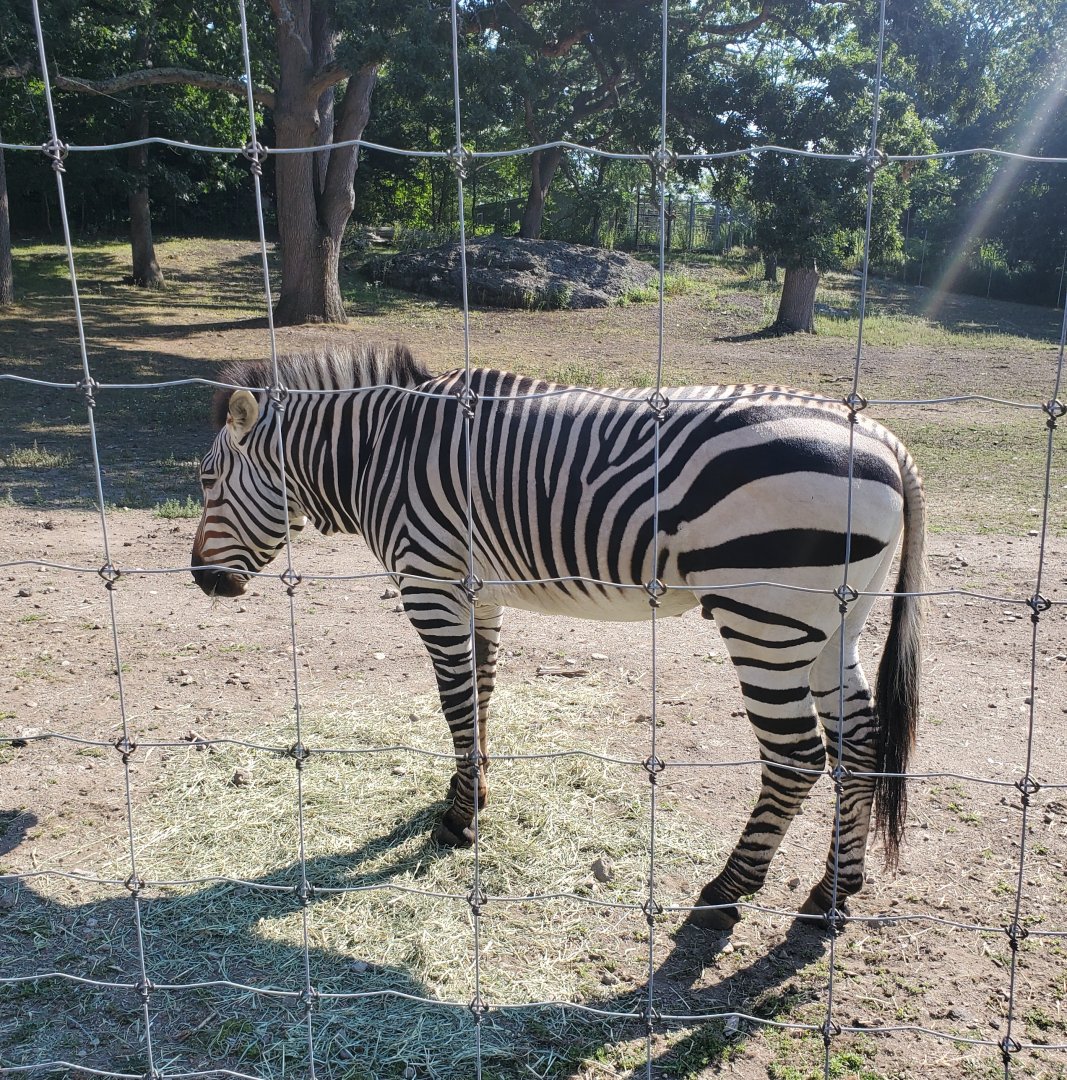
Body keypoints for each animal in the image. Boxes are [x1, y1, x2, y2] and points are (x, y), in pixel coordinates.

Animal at [191, 342, 925, 929]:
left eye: (206, 479)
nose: (201, 579)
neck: (381, 456)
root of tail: (887, 441)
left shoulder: (430, 584)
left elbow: (454, 703)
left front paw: (459, 819)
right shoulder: (477, 591)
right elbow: (480, 696)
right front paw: (471, 795)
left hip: (765, 615)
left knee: (797, 757)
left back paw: (725, 892)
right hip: (837, 620)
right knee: (859, 741)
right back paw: (832, 893)